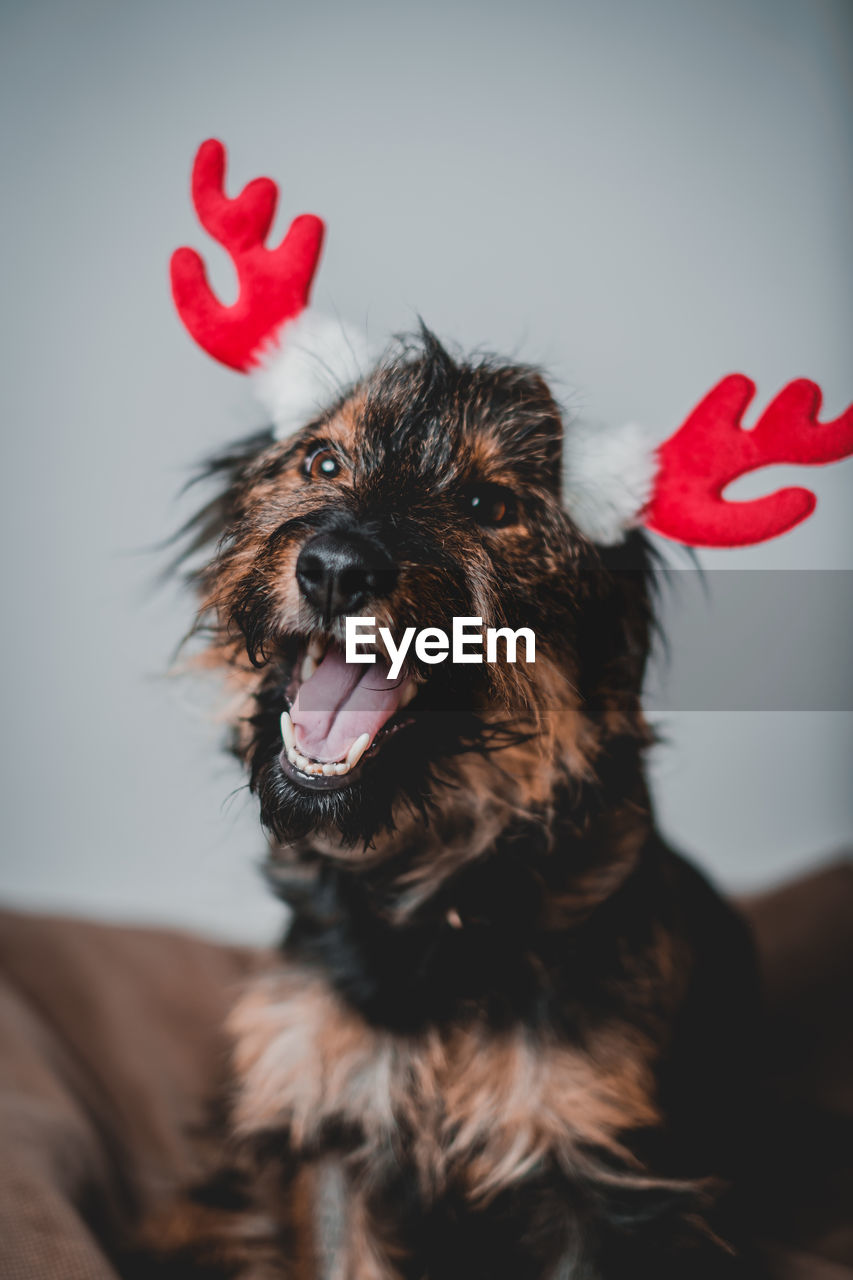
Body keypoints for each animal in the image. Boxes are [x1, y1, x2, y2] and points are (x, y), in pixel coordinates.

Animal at [139, 330, 758, 1280]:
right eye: (322, 460)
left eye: (488, 503)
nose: (335, 569)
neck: (426, 894)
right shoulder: (326, 1122)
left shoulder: (597, 1165)